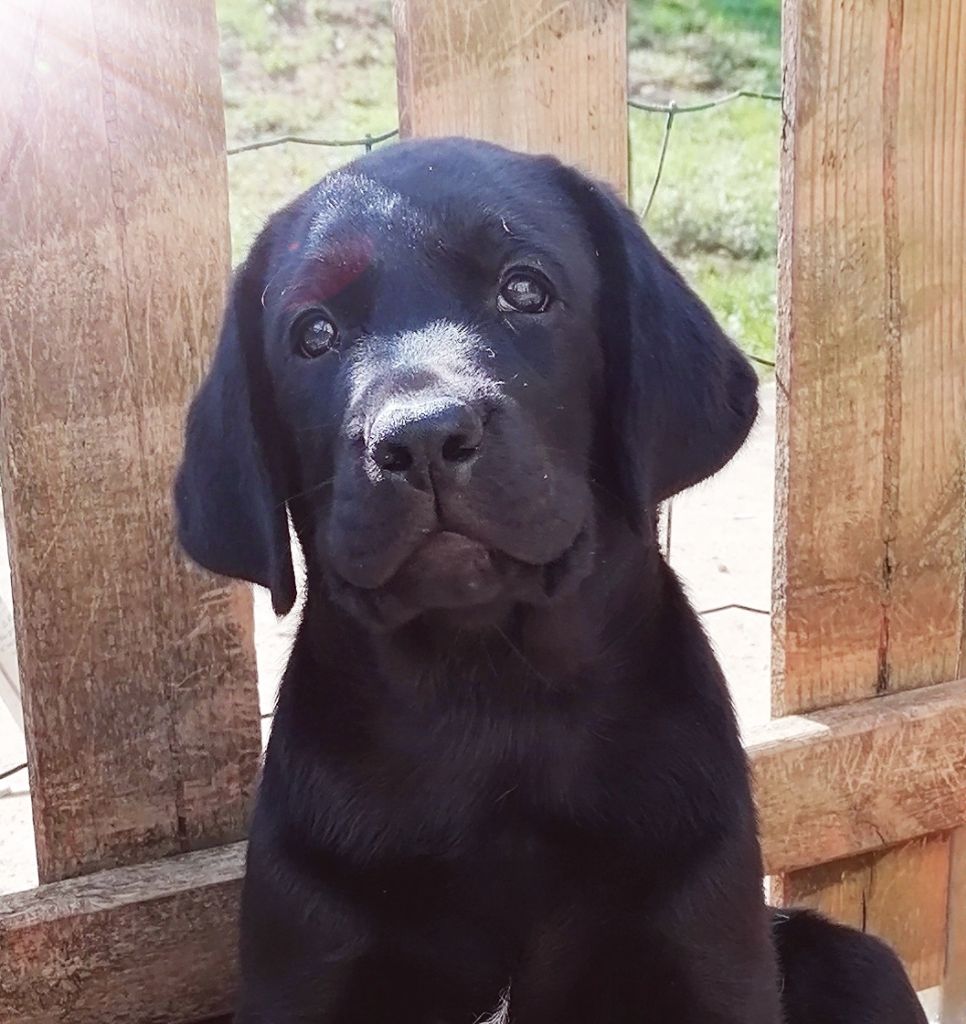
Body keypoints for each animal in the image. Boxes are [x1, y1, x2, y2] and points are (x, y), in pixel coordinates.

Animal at [175, 138, 930, 1024]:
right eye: (314, 334)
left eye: (525, 289)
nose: (420, 438)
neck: (495, 703)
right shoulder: (309, 961)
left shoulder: (704, 949)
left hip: (860, 962)